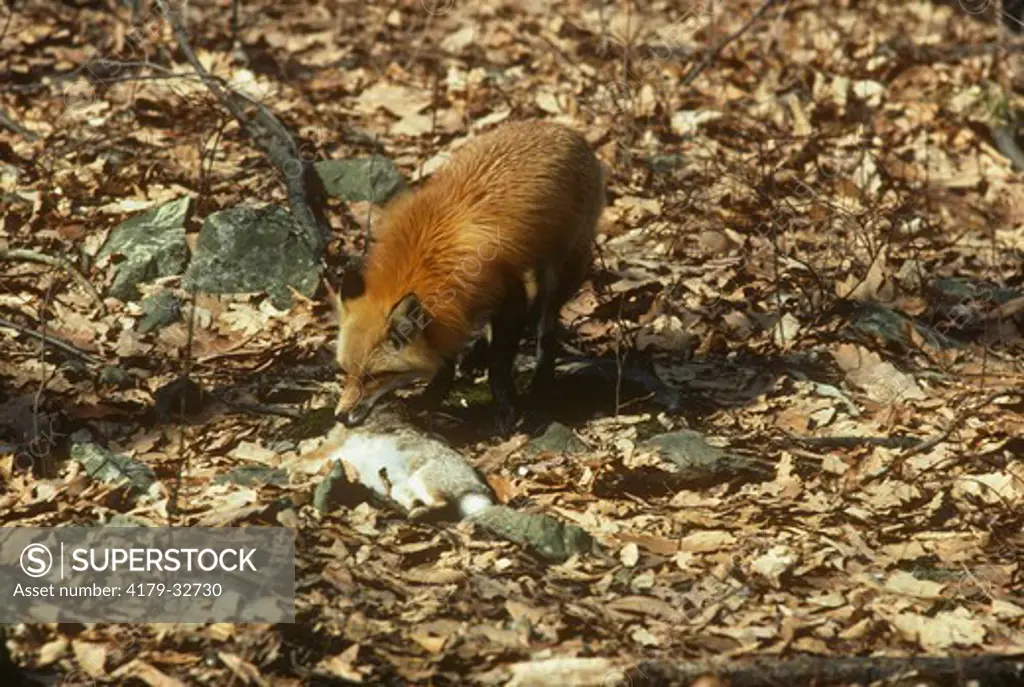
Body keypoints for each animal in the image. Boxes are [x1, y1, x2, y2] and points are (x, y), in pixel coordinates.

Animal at [335, 118, 602, 430]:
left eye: (374, 377)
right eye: (346, 372)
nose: (340, 417)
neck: (427, 257)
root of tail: (562, 128)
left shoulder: (509, 295)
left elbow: (499, 365)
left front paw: (507, 408)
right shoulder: (453, 308)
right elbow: (446, 357)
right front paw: (432, 397)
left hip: (563, 271)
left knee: (545, 327)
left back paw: (540, 382)